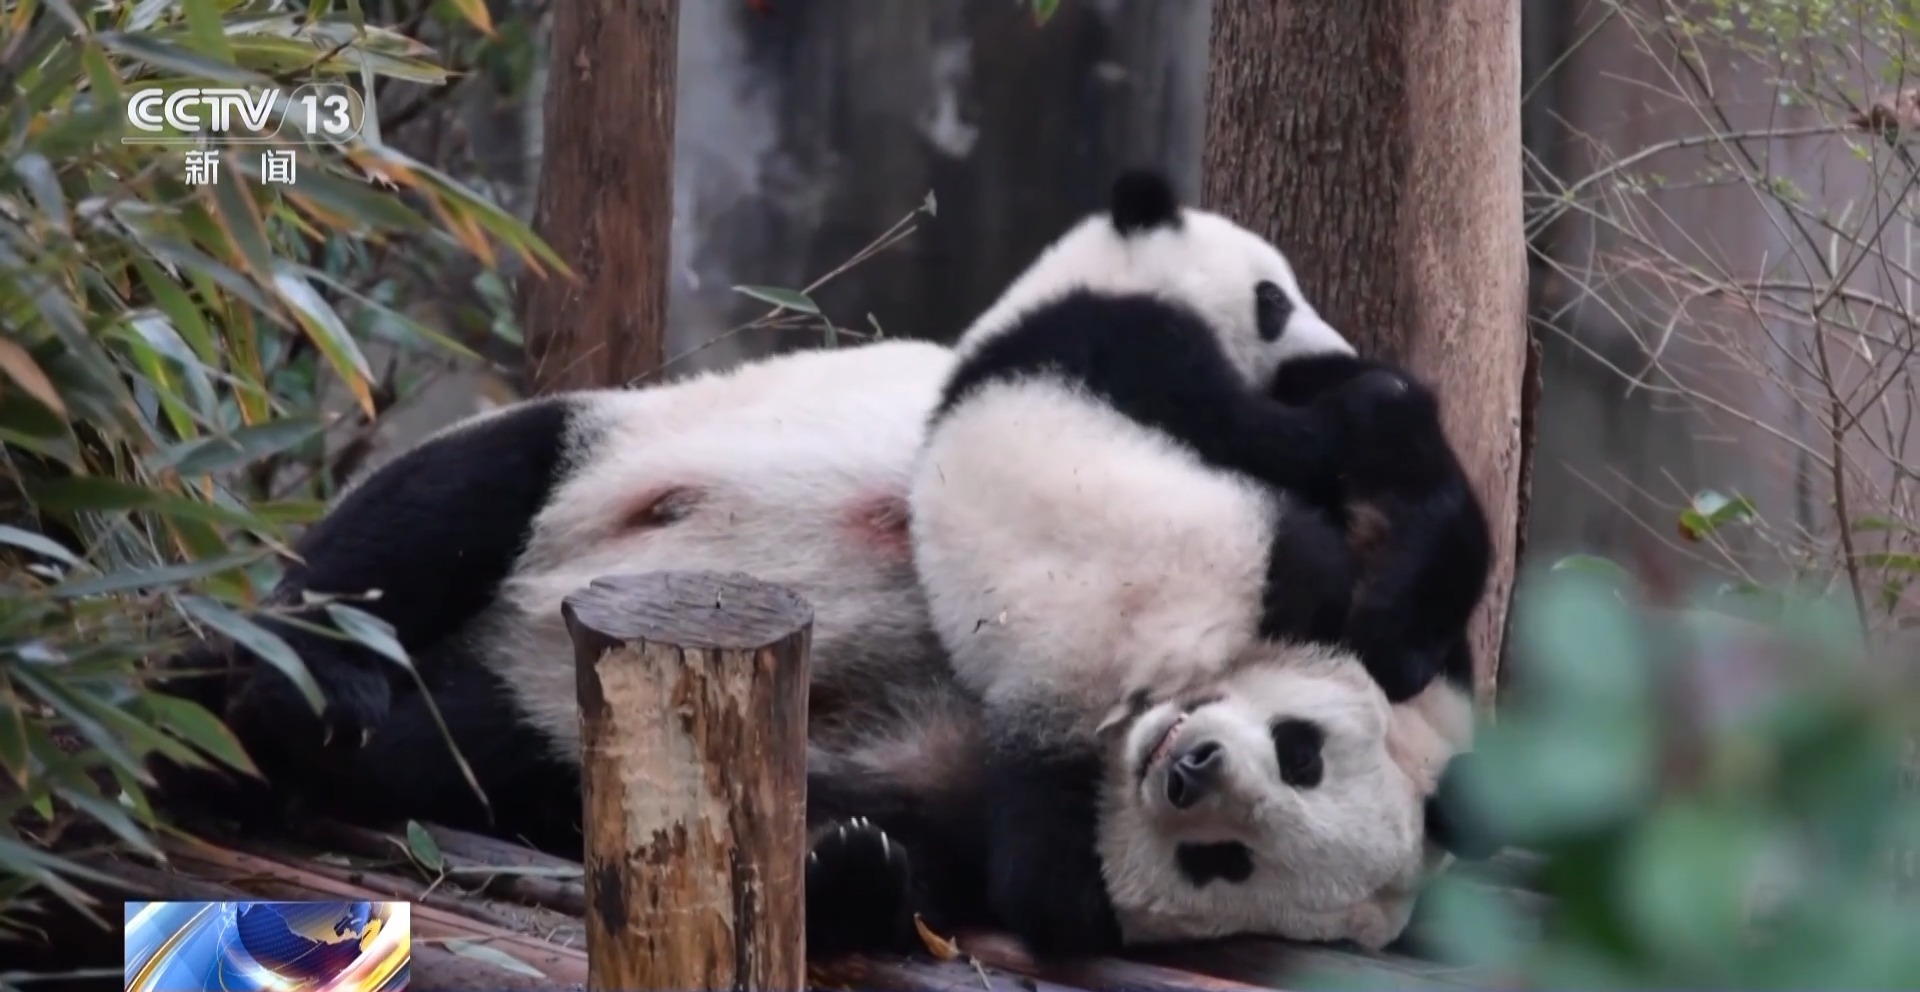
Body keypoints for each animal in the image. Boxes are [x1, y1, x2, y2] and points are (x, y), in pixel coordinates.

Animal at [824, 170, 1497, 958]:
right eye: (1274, 299)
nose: (1328, 344)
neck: (1073, 279)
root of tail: (1144, 658)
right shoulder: (1127, 342)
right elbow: (1263, 434)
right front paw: (1376, 399)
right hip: (1247, 550)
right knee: (1318, 563)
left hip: (1033, 700)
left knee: (1037, 837)